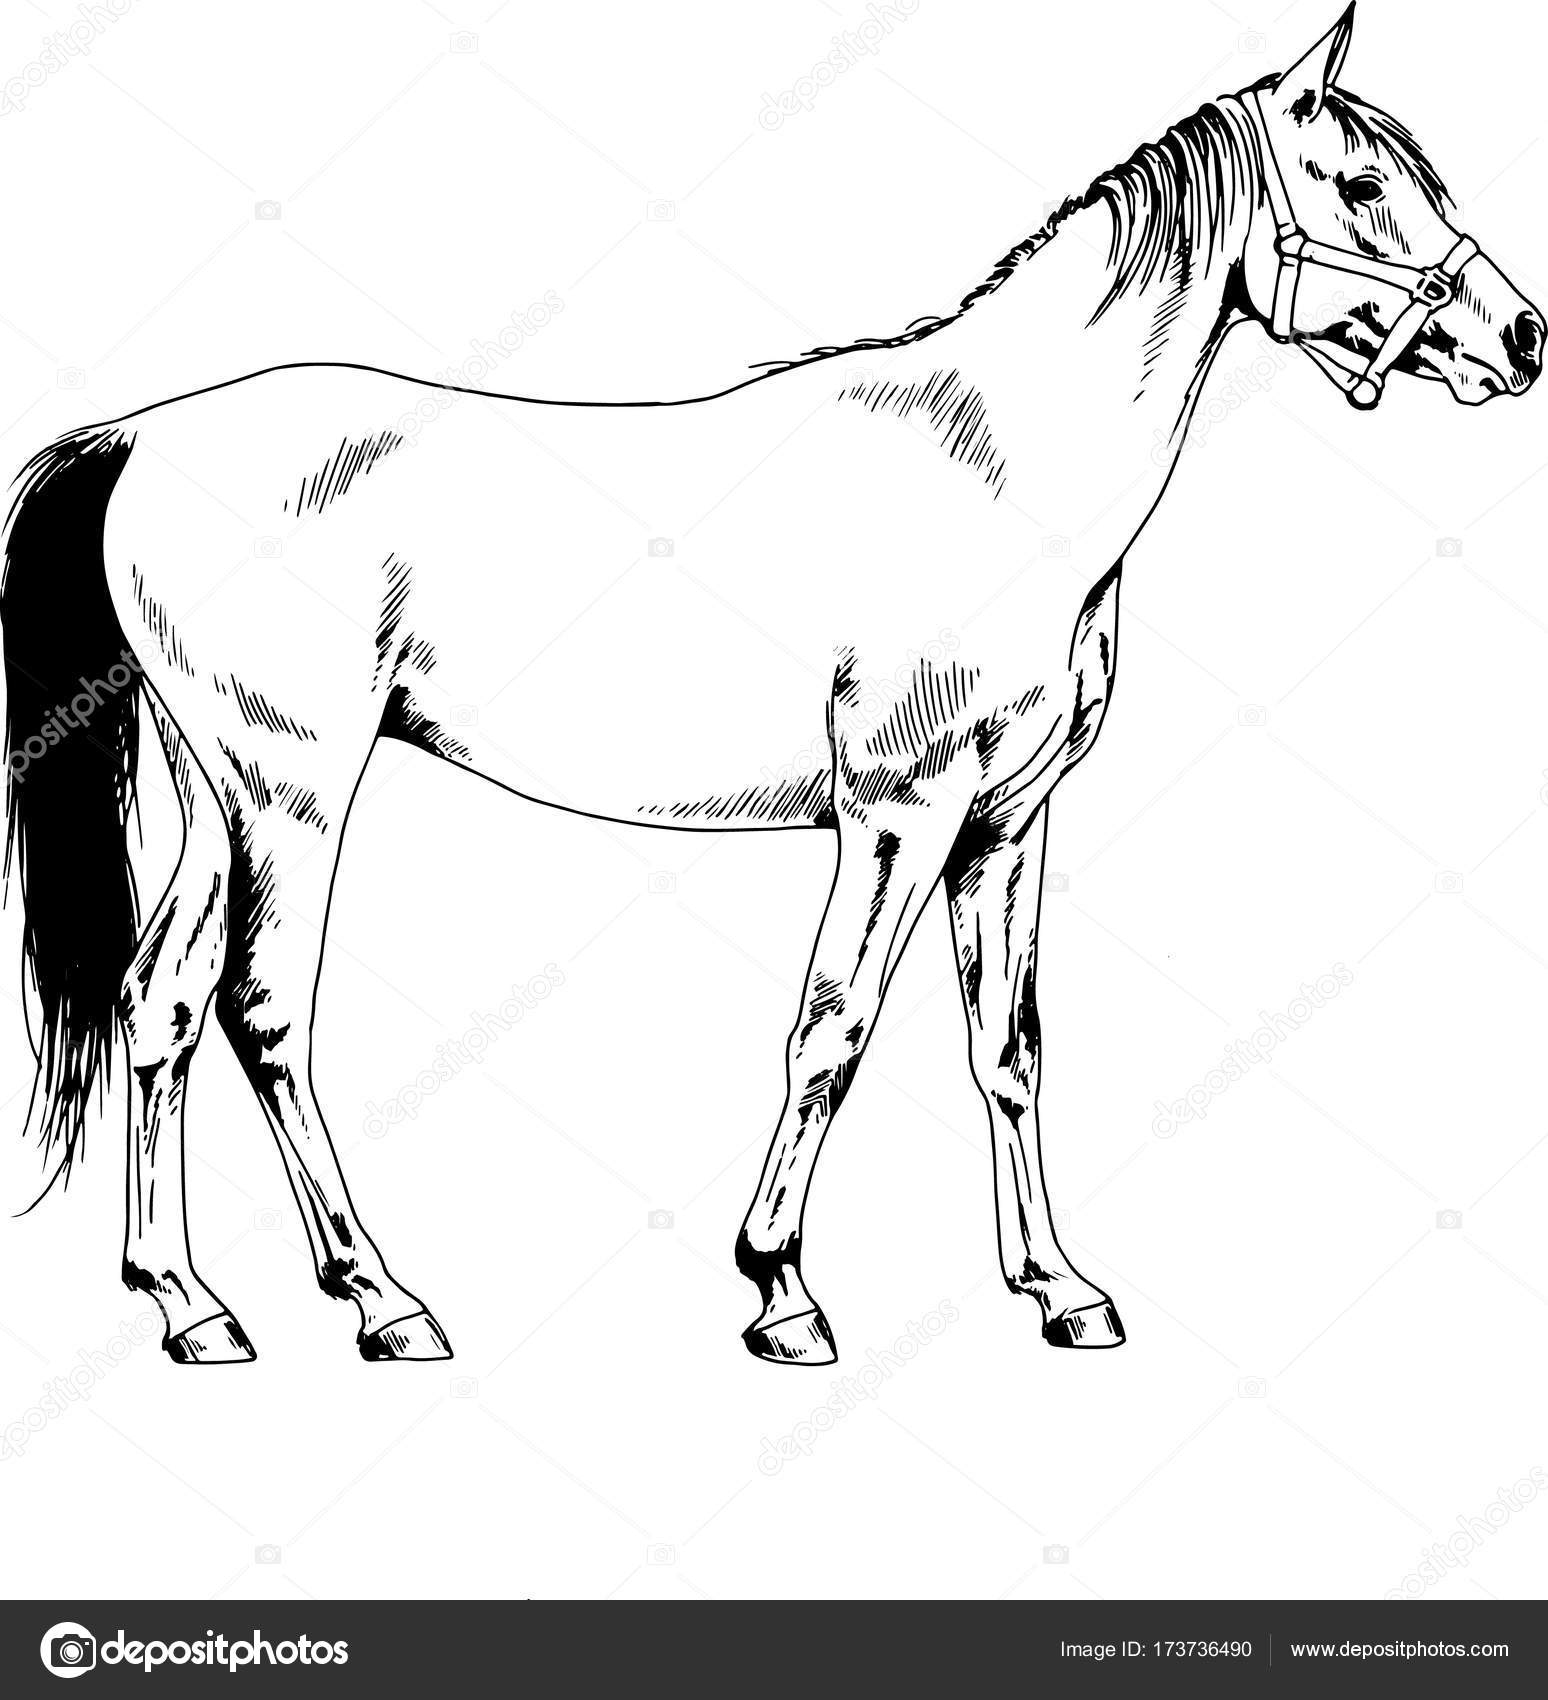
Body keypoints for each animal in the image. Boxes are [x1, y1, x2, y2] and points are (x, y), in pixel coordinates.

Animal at [2, 5, 1540, 1368]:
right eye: (1361, 185)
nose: (1523, 338)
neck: (998, 466)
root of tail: (137, 438)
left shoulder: (1007, 826)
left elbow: (1011, 1046)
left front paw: (1059, 1289)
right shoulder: (898, 814)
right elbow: (832, 1033)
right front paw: (781, 1291)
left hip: (222, 799)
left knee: (159, 1002)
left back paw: (190, 1304)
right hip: (297, 796)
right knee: (263, 1011)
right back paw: (383, 1301)